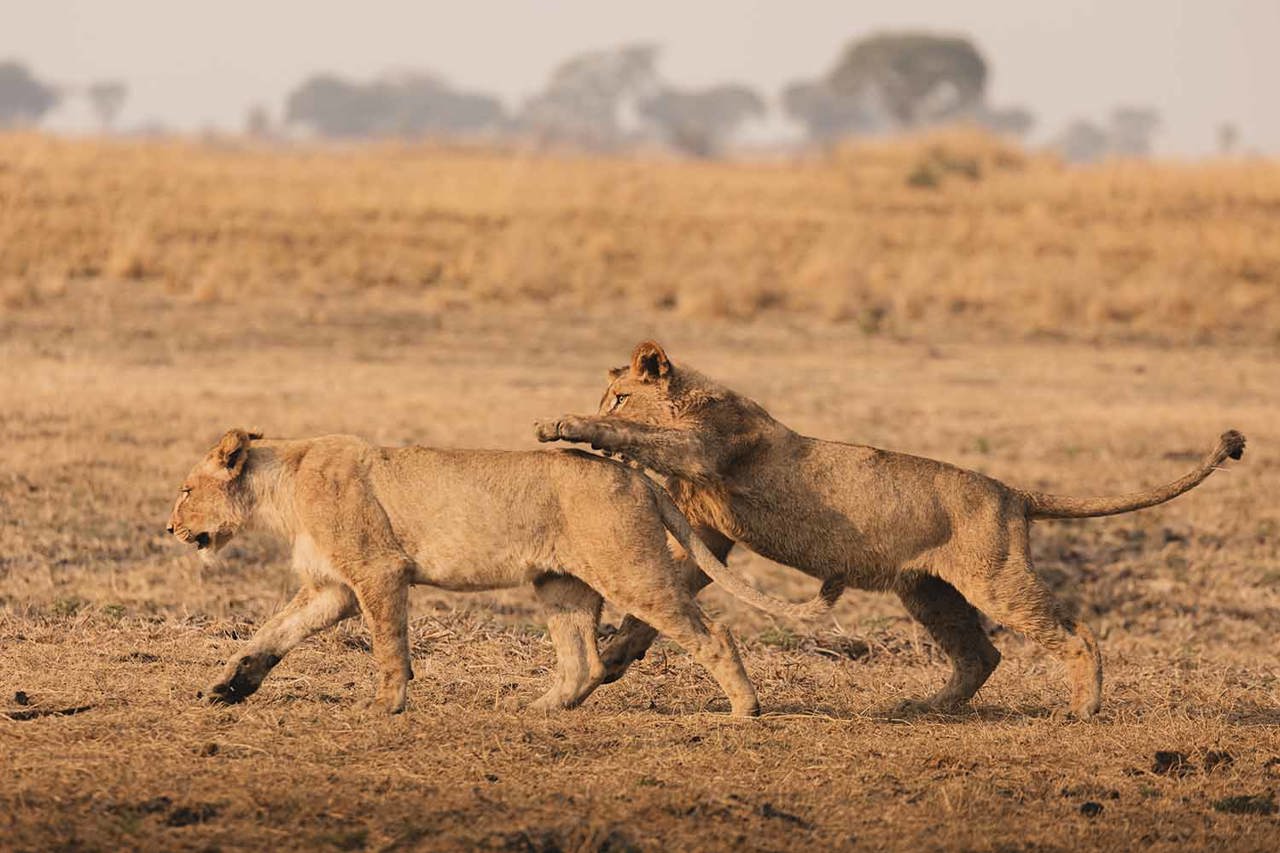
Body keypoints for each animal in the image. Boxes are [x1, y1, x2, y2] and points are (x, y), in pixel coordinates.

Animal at [167, 429, 831, 716]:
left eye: (186, 490)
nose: (172, 529)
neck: (279, 489)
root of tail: (639, 477)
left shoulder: (378, 571)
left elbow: (388, 646)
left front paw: (386, 705)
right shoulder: (332, 586)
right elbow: (271, 634)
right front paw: (228, 687)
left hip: (631, 572)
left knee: (712, 633)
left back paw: (746, 708)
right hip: (561, 584)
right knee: (584, 662)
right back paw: (538, 708)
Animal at [534, 341, 1246, 718]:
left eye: (619, 397)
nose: (599, 405)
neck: (694, 400)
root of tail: (1011, 492)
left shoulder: (707, 451)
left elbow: (638, 437)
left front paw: (565, 425)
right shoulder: (711, 532)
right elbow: (662, 601)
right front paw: (615, 657)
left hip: (998, 582)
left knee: (1078, 634)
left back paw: (1081, 709)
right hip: (929, 592)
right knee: (980, 654)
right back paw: (922, 708)